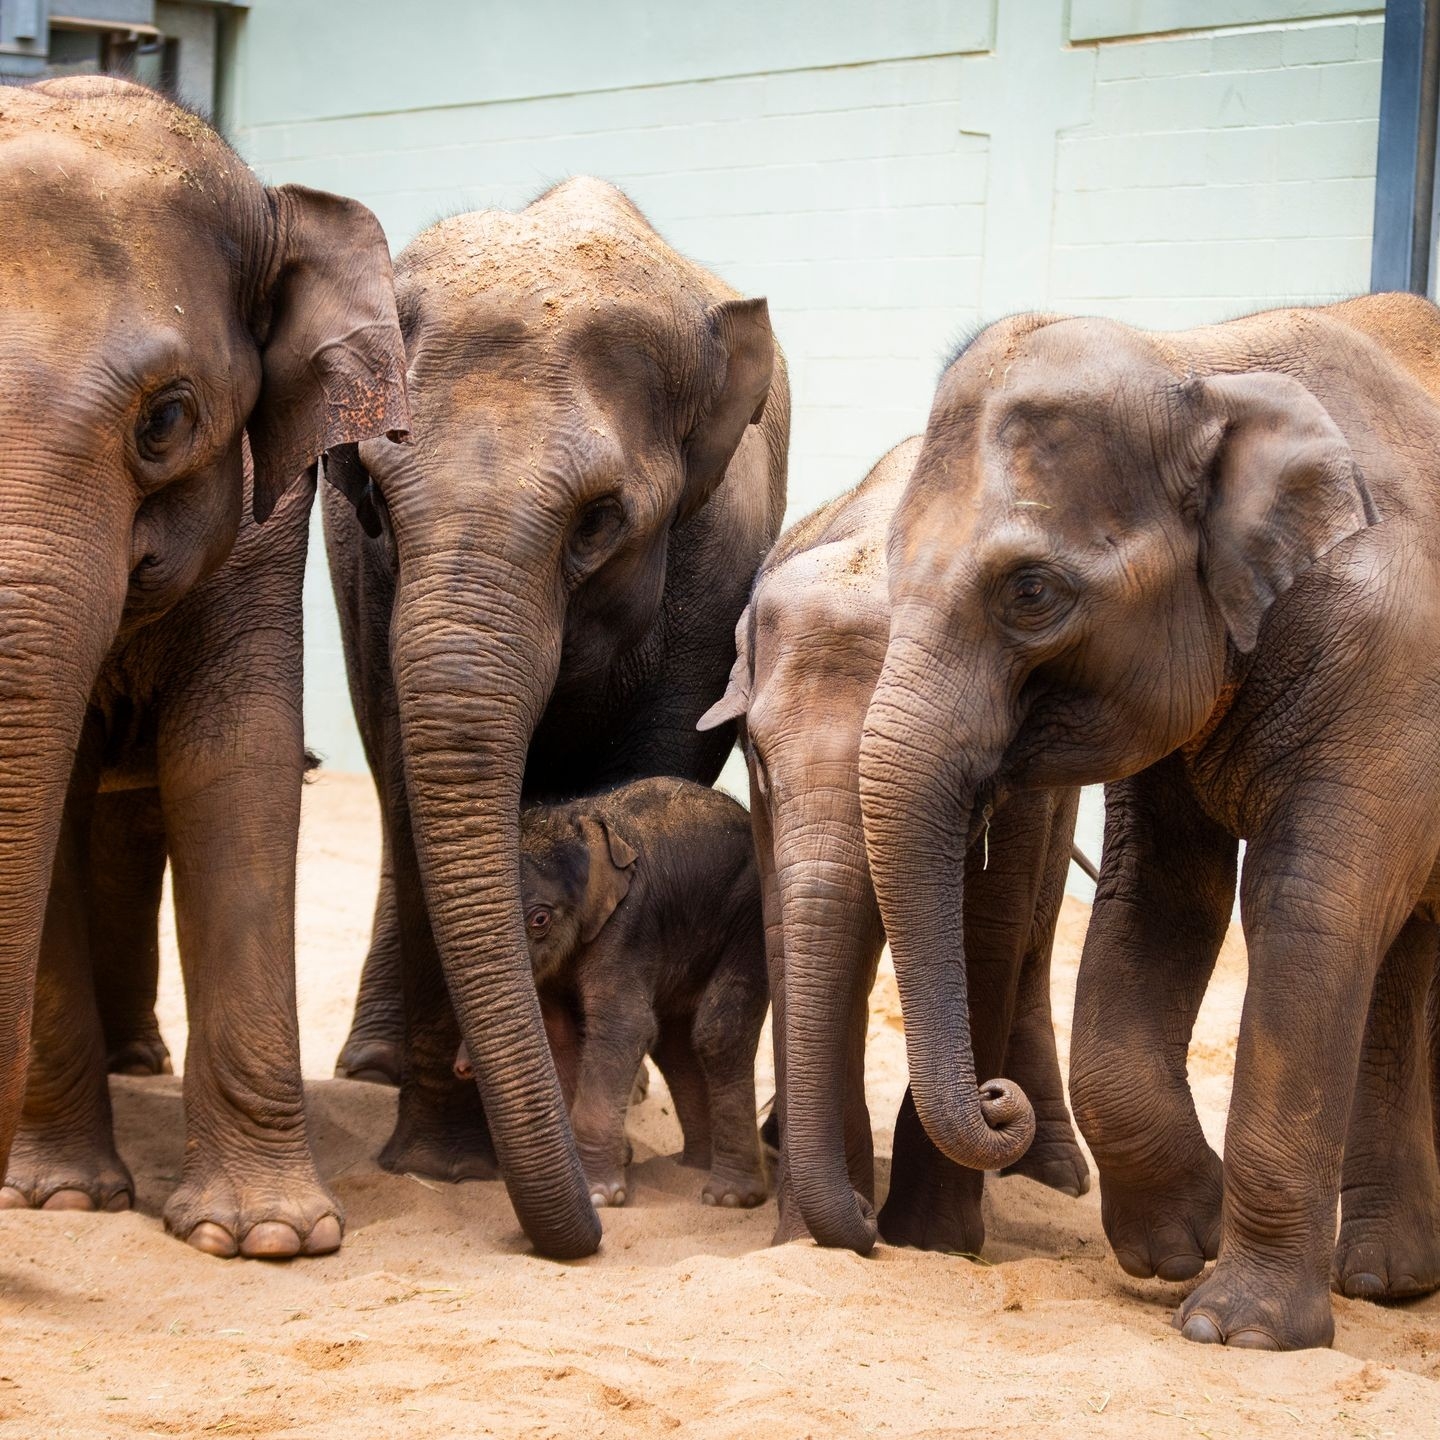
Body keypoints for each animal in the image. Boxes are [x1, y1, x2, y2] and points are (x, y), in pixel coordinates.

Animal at [0, 79, 409, 1257]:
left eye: (168, 420)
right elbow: (60, 792)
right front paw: (60, 1199)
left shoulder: (269, 523)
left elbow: (235, 765)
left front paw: (267, 1239)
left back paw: (141, 1060)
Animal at [458, 777, 768, 1211]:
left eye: (540, 919)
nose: (462, 1068)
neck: (576, 819)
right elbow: (561, 1034)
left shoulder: (627, 924)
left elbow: (624, 1027)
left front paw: (599, 1196)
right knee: (674, 1044)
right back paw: (690, 1168)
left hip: (749, 912)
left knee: (718, 1031)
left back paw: (728, 1197)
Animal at [698, 436, 1088, 1256]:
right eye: (760, 764)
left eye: (973, 778)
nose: (863, 1216)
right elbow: (789, 935)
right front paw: (805, 1238)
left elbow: (986, 933)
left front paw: (935, 1243)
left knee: (1033, 942)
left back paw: (1055, 1176)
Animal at [858, 296, 1440, 1350]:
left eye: (1031, 592)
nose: (997, 1099)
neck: (1204, 365)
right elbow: (1157, 900)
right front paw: (1177, 1244)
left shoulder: (1394, 657)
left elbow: (1307, 910)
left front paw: (1237, 1331)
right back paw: (1387, 1280)